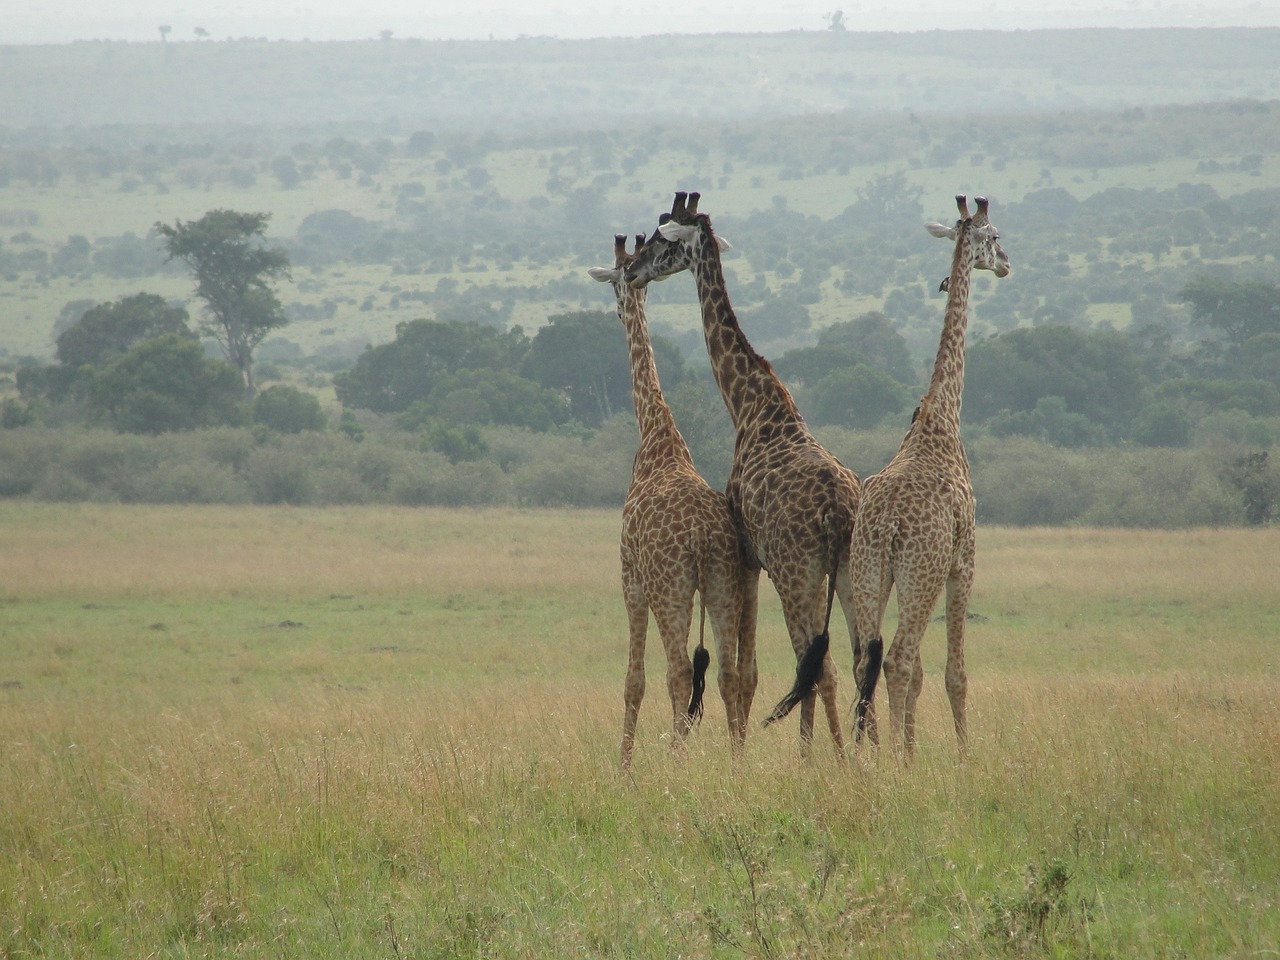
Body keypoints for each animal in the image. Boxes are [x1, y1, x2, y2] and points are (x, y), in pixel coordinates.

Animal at [588, 229, 757, 773]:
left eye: (613, 284)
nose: (618, 310)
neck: (656, 434)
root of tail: (701, 537)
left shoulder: (630, 576)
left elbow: (633, 680)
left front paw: (623, 766)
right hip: (724, 580)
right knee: (727, 672)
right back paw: (737, 763)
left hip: (672, 586)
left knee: (680, 670)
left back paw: (678, 763)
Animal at [622, 192, 860, 757]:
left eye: (663, 241)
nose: (633, 270)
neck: (750, 403)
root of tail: (838, 512)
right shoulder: (754, 562)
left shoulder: (752, 559)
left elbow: (746, 671)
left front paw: (744, 751)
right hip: (851, 570)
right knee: (859, 659)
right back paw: (868, 754)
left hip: (798, 571)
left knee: (819, 667)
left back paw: (825, 761)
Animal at [855, 195, 1013, 762]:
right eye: (994, 235)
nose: (1007, 262)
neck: (942, 416)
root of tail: (887, 526)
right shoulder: (964, 560)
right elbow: (953, 674)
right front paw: (964, 757)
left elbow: (924, 675)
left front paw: (912, 745)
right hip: (920, 574)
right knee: (898, 657)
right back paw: (897, 761)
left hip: (869, 571)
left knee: (866, 660)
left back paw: (871, 755)